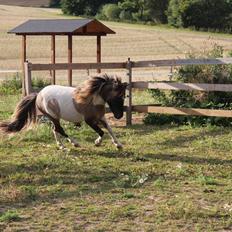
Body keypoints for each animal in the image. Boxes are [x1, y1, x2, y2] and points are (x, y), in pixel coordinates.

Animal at [0, 75, 128, 150]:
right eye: (119, 97)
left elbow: (109, 129)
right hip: (53, 116)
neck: (93, 98)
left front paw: (118, 144)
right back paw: (74, 143)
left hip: (53, 117)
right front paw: (97, 142)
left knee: (55, 129)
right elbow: (102, 132)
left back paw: (61, 146)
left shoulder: (101, 117)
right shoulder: (89, 120)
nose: (119, 116)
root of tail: (38, 95)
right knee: (59, 129)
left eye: (124, 96)